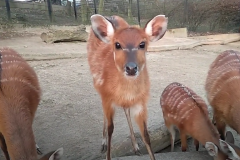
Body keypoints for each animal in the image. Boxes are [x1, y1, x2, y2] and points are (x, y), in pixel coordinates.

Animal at [87, 14, 168, 160]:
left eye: (142, 44)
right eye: (117, 44)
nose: (131, 68)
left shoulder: (141, 101)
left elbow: (146, 134)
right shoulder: (107, 97)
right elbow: (110, 129)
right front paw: (107, 151)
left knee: (125, 109)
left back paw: (135, 147)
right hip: (98, 86)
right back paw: (103, 144)